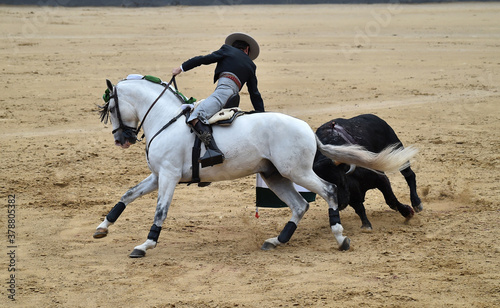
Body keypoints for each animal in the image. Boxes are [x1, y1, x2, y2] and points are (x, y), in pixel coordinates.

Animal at [92, 76, 416, 258]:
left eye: (111, 108)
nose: (121, 139)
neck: (166, 120)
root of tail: (308, 129)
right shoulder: (158, 175)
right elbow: (128, 194)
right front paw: (102, 227)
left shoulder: (169, 177)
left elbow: (160, 211)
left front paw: (145, 245)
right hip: (274, 176)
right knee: (300, 205)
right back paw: (276, 240)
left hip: (297, 172)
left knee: (329, 191)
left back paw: (340, 237)